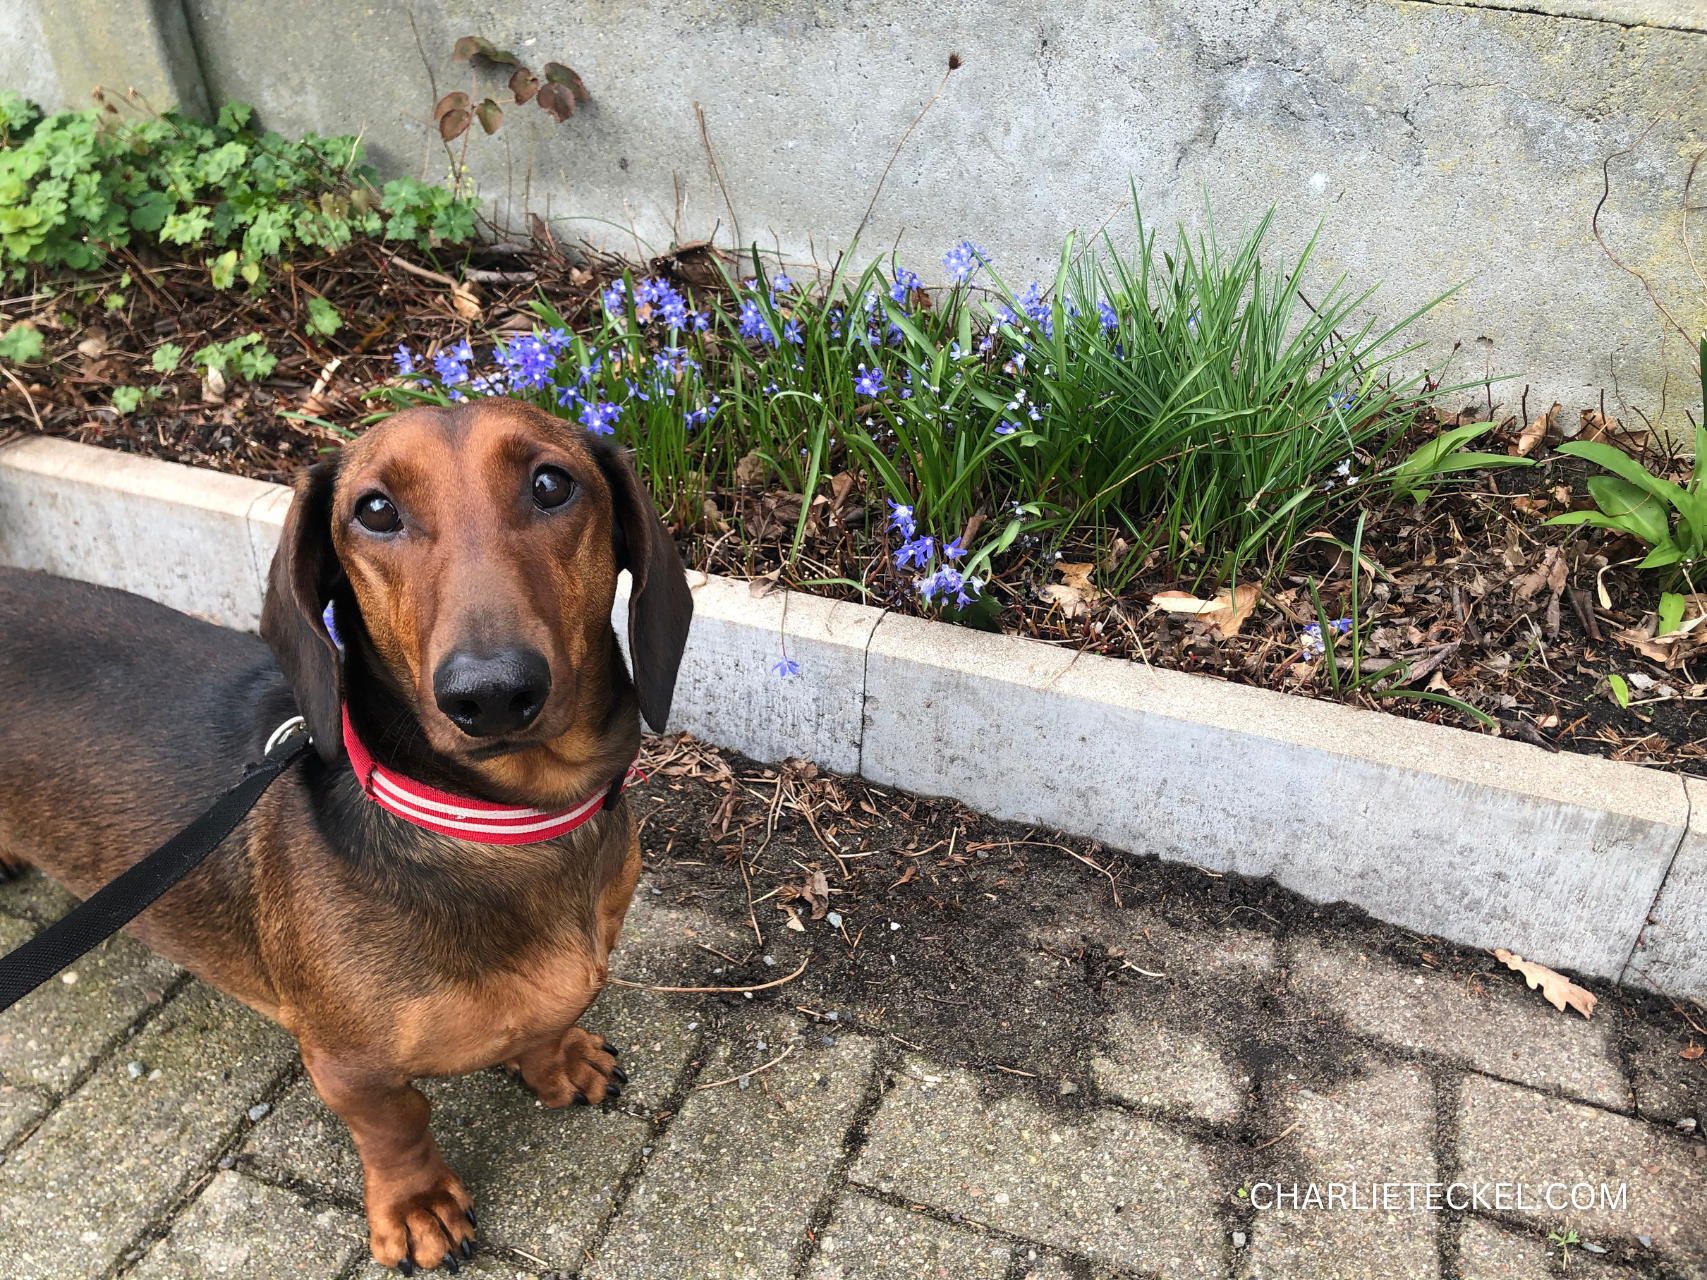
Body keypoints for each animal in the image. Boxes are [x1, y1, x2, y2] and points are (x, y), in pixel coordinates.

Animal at [1, 401, 693, 1276]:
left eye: (550, 484)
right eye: (374, 510)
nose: (492, 693)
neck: (502, 821)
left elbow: (543, 1027)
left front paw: (559, 1060)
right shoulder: (348, 1069)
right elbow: (398, 1125)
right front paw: (418, 1207)